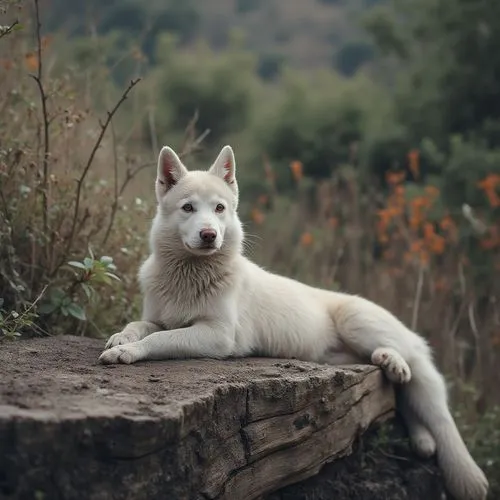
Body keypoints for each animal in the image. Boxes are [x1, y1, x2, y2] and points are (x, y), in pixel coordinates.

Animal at [98, 145, 488, 500]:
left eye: (219, 208)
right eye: (188, 208)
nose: (209, 234)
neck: (190, 275)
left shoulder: (217, 336)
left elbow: (158, 341)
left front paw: (127, 353)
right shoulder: (157, 318)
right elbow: (139, 327)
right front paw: (120, 339)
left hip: (357, 322)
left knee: (422, 383)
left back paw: (397, 367)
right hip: (336, 355)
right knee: (405, 390)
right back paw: (414, 421)